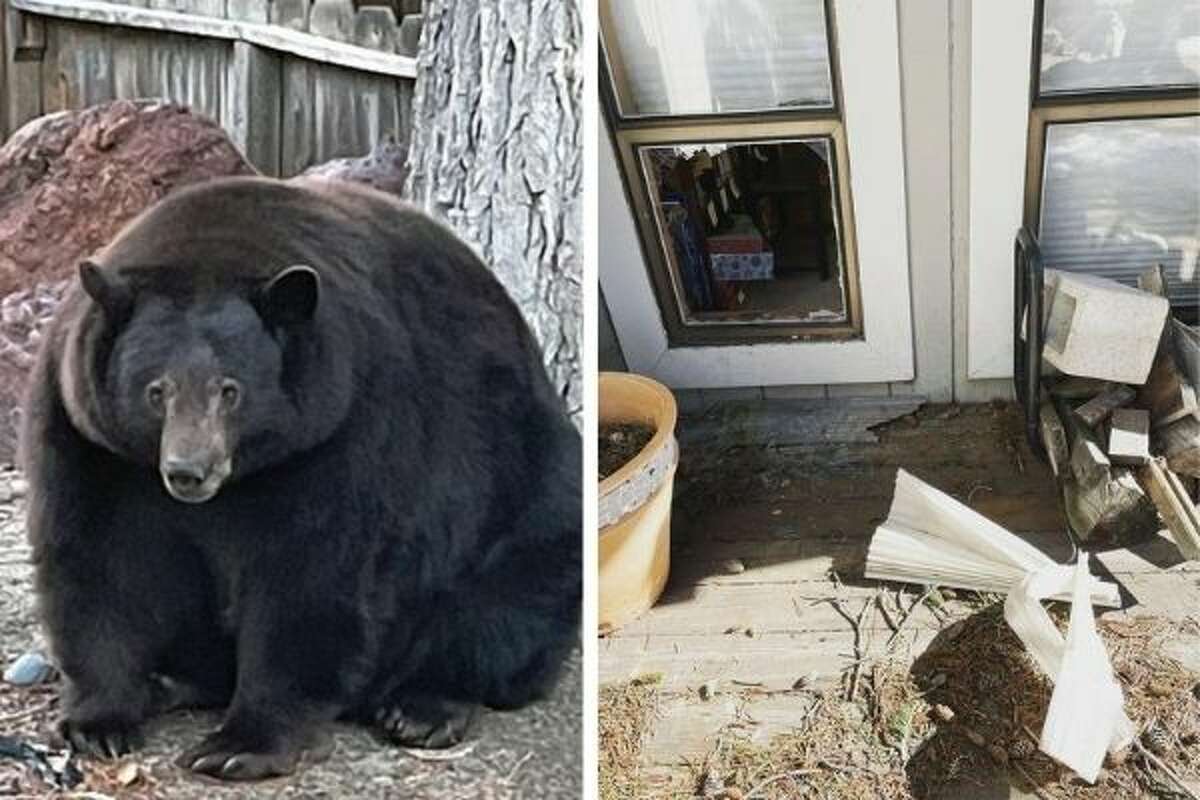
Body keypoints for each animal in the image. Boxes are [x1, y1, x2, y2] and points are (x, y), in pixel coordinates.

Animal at [18, 176, 580, 782]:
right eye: (156, 390)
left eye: (230, 390)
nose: (189, 471)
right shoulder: (90, 438)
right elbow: (101, 559)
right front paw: (99, 722)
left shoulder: (345, 425)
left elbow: (311, 573)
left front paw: (239, 744)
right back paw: (172, 681)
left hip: (523, 489)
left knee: (507, 601)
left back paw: (421, 707)